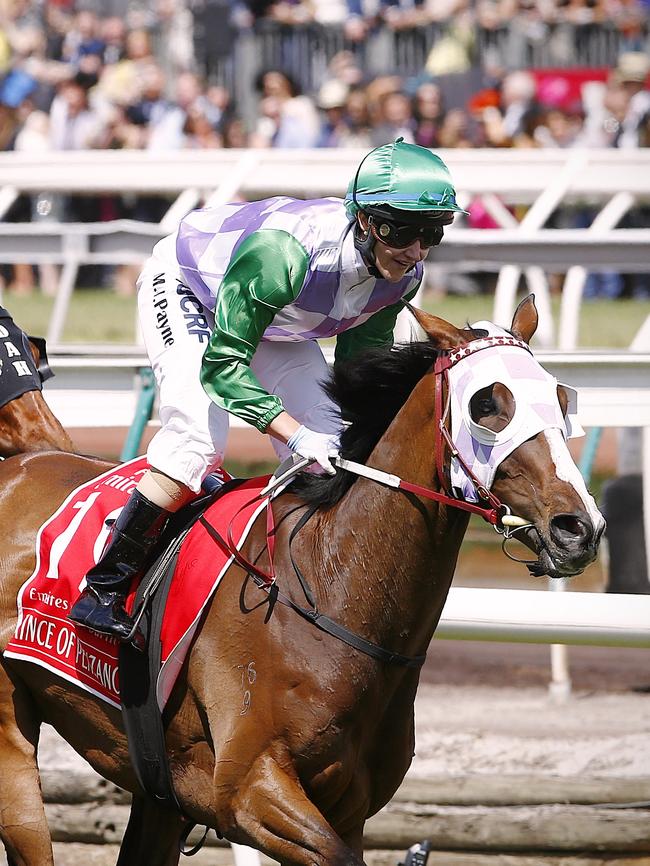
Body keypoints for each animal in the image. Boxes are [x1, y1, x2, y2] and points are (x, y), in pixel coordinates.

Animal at [0, 294, 604, 860]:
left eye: (561, 398)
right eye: (486, 404)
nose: (579, 527)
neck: (330, 594)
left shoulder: (348, 808)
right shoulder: (250, 792)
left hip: (158, 790)